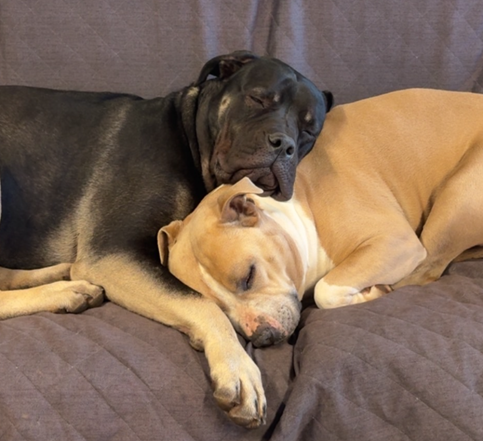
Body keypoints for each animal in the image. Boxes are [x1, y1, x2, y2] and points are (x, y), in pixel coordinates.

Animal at [0, 50, 332, 428]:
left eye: (310, 130)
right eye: (258, 98)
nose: (284, 145)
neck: (190, 137)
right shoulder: (112, 253)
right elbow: (200, 301)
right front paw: (238, 369)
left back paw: (63, 280)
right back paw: (64, 289)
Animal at [160, 88, 483, 422]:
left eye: (249, 275)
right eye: (218, 306)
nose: (262, 337)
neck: (295, 207)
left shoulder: (396, 241)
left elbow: (326, 289)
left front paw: (367, 293)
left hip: (456, 196)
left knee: (429, 268)